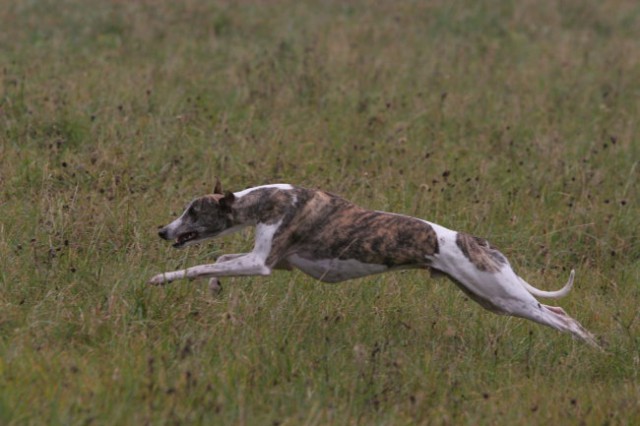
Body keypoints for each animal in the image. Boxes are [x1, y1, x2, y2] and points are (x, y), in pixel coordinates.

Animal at [150, 180, 600, 346]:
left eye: (192, 211)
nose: (162, 231)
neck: (267, 199)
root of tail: (481, 243)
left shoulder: (262, 262)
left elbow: (203, 264)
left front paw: (161, 277)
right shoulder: (277, 263)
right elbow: (220, 258)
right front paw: (214, 289)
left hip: (503, 295)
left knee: (562, 317)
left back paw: (592, 347)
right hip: (489, 298)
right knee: (557, 311)